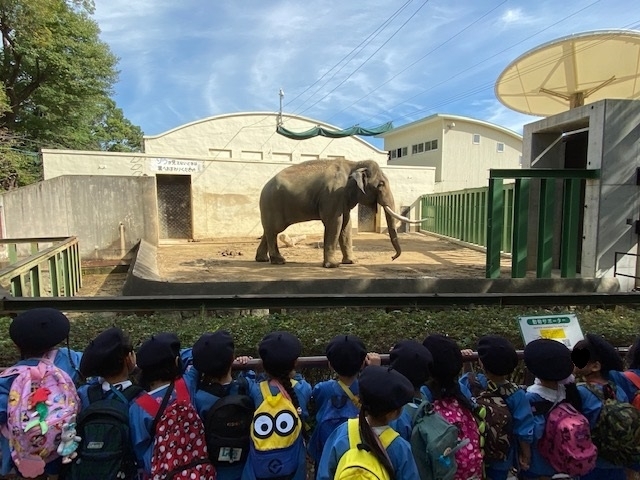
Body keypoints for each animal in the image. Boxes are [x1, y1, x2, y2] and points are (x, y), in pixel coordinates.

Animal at [254, 158, 424, 268]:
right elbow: (335, 223)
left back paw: (262, 259)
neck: (354, 164)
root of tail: (264, 186)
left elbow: (346, 225)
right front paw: (333, 265)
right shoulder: (333, 194)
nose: (392, 257)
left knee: (269, 230)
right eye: (381, 184)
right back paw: (279, 261)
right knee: (274, 230)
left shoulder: (343, 198)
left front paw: (352, 262)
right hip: (272, 204)